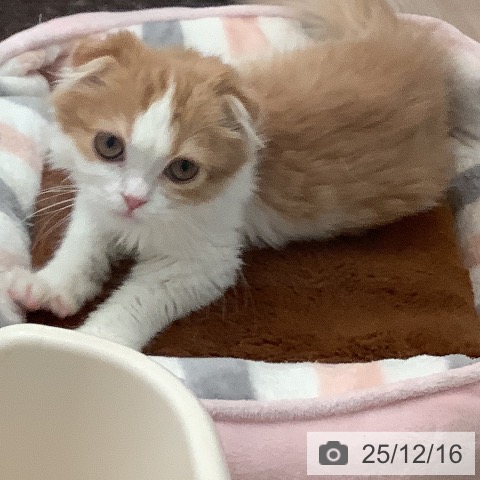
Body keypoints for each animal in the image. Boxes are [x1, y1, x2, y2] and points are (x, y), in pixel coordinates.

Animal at [6, 0, 453, 350]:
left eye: (183, 169)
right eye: (109, 145)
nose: (134, 199)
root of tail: (411, 49)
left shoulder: (203, 262)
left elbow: (133, 302)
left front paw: (96, 342)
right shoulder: (97, 203)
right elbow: (82, 247)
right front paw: (49, 287)